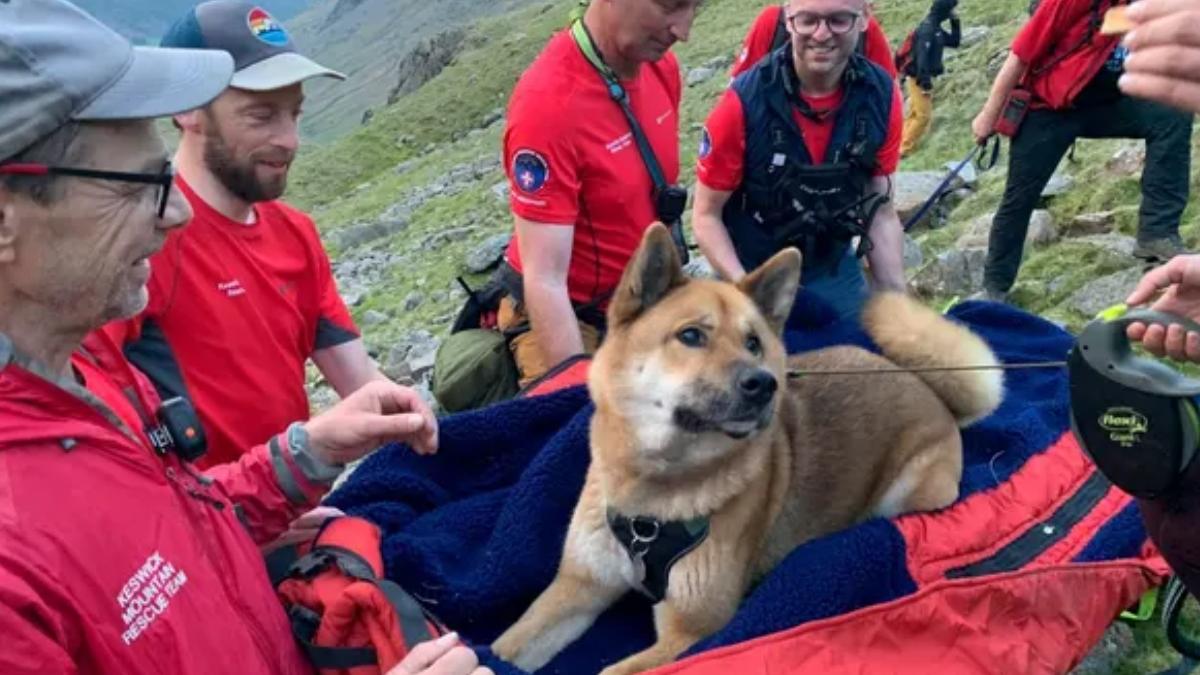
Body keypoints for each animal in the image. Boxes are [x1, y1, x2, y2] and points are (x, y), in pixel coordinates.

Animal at [489, 225, 1003, 672]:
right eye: (691, 335)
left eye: (754, 342)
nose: (764, 384)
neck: (651, 498)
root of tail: (924, 385)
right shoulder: (578, 587)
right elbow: (506, 645)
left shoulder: (691, 631)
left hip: (913, 491)